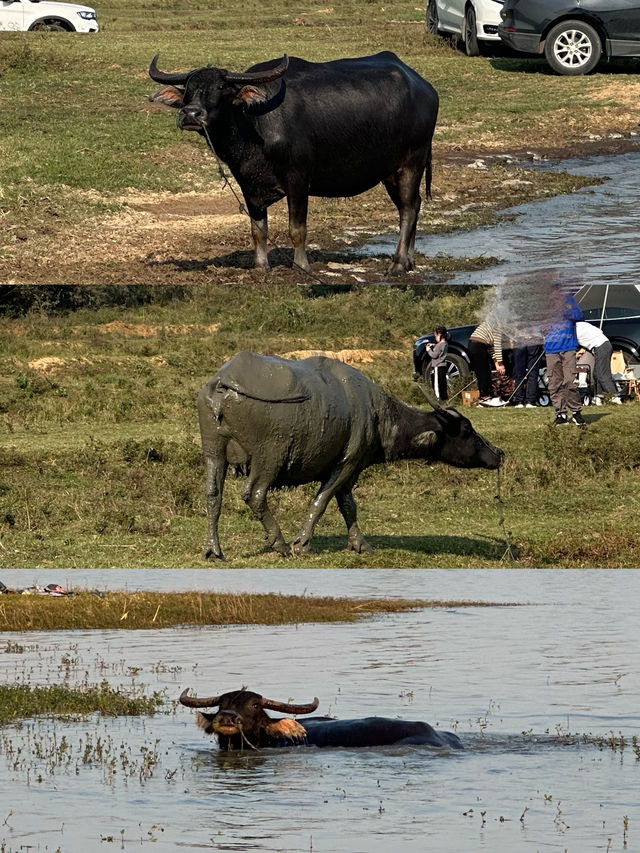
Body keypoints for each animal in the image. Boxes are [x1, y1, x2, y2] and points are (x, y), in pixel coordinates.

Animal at [149, 50, 438, 274]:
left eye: (221, 88)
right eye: (188, 90)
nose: (190, 114)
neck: (255, 123)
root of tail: (425, 88)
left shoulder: (298, 180)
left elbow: (297, 228)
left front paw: (300, 266)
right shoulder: (248, 183)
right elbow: (258, 229)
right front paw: (260, 266)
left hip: (412, 163)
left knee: (409, 208)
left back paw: (398, 264)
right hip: (390, 172)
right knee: (411, 206)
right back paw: (409, 259)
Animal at [196, 348, 504, 556]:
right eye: (466, 428)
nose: (499, 453)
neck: (378, 415)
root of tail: (223, 382)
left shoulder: (349, 469)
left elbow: (348, 506)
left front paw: (360, 543)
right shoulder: (347, 462)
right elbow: (322, 501)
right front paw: (301, 544)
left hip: (213, 451)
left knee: (213, 495)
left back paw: (214, 550)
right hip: (270, 456)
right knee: (255, 494)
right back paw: (280, 544)